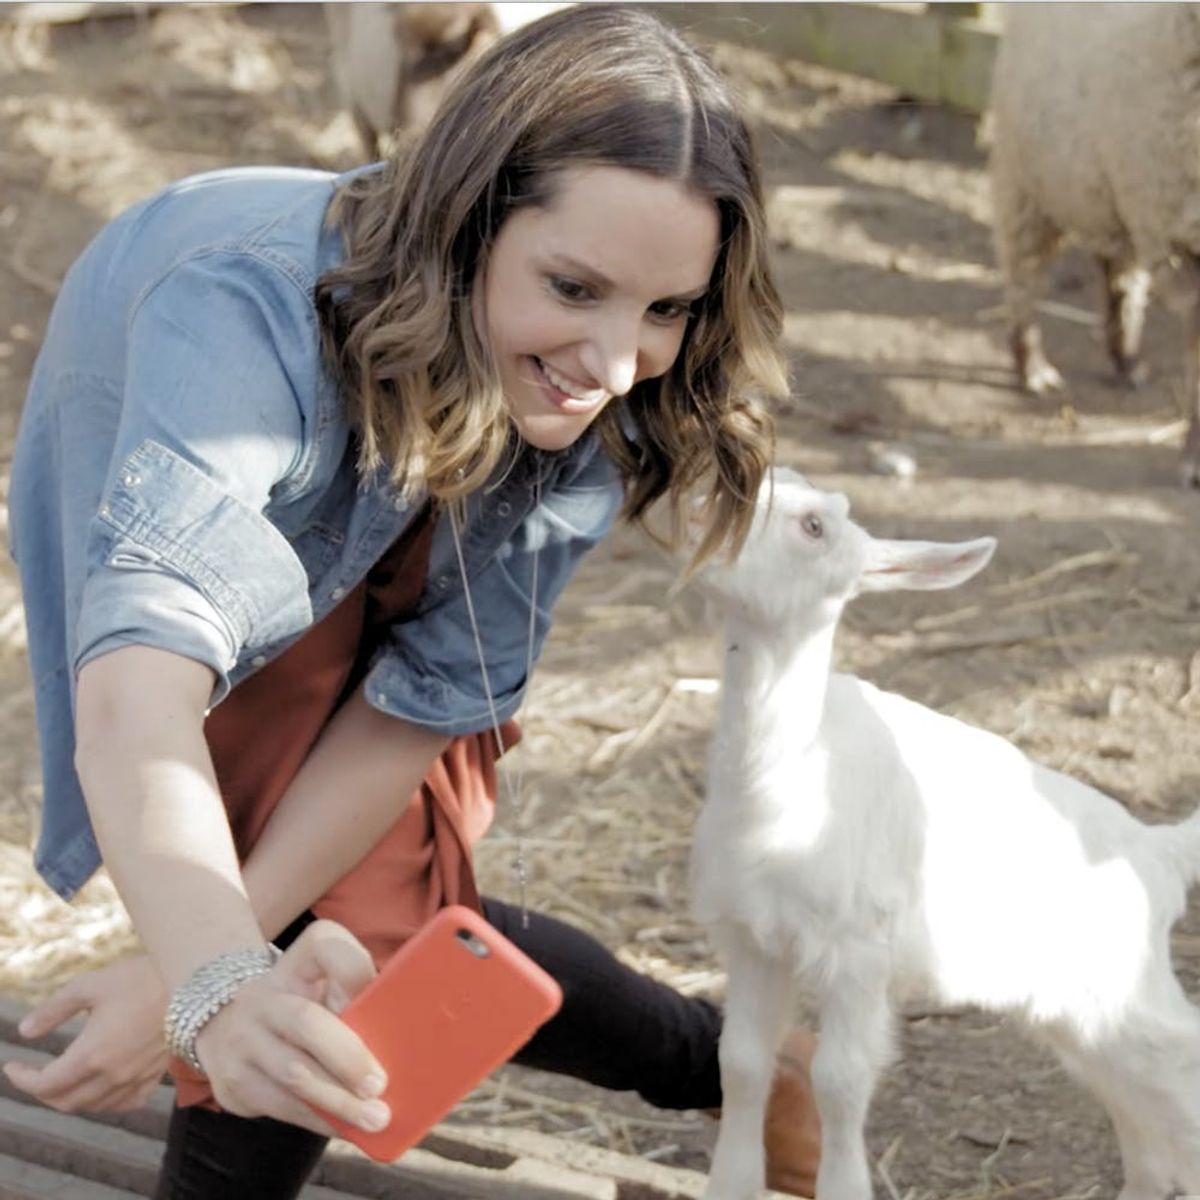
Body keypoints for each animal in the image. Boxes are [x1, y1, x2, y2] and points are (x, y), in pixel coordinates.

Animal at [691, 467, 1200, 1199]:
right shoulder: (752, 937)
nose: (702, 511)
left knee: (1180, 1066)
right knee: (1150, 1129)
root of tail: (1160, 852)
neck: (785, 782)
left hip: (1126, 990)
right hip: (1086, 1014)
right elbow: (741, 1061)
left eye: (814, 525)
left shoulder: (859, 951)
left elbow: (839, 1081)